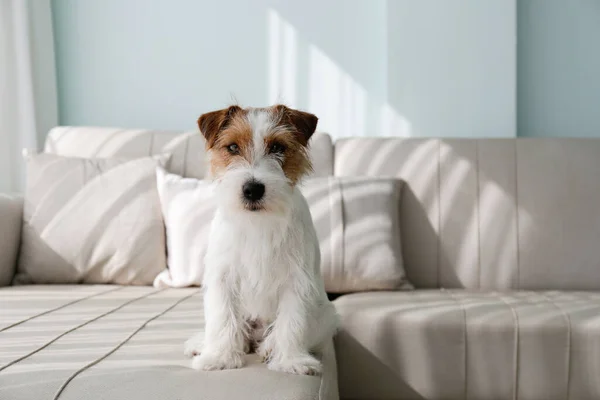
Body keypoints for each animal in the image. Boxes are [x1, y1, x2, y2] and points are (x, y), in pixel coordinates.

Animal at [184, 103, 338, 376]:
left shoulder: (296, 280)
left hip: (327, 315)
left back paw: (269, 347)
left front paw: (291, 361)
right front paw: (219, 357)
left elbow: (292, 322)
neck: (258, 223)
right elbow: (222, 318)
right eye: (232, 147)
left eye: (277, 147)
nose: (252, 189)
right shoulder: (223, 277)